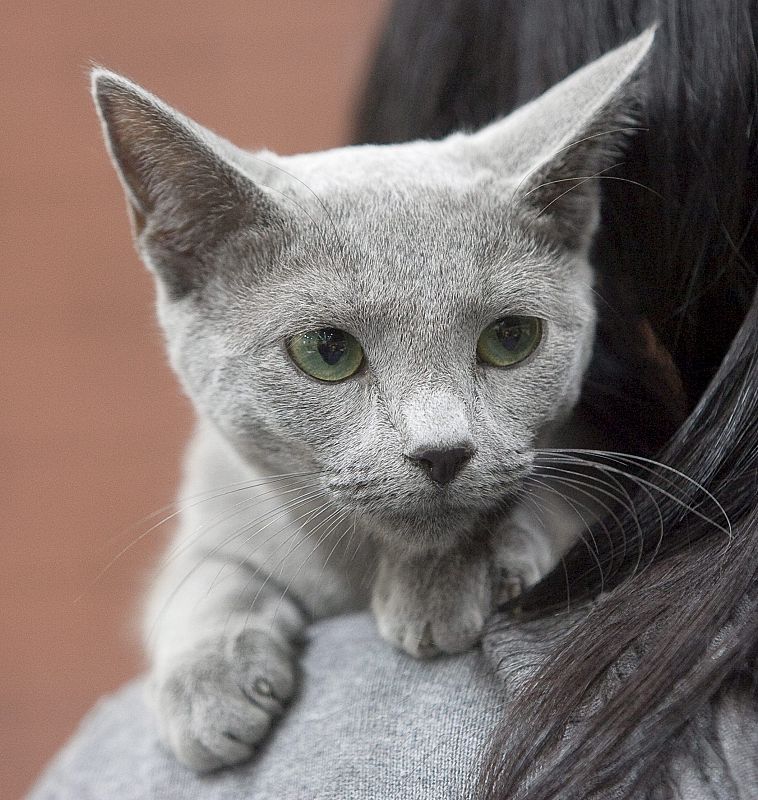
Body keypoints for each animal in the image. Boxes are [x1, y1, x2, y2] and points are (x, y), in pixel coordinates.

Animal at [93, 29, 652, 768]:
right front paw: (207, 684)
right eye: (327, 351)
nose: (442, 451)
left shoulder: (597, 453)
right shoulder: (214, 500)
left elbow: (556, 490)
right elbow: (200, 576)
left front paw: (449, 579)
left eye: (510, 338)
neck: (352, 570)